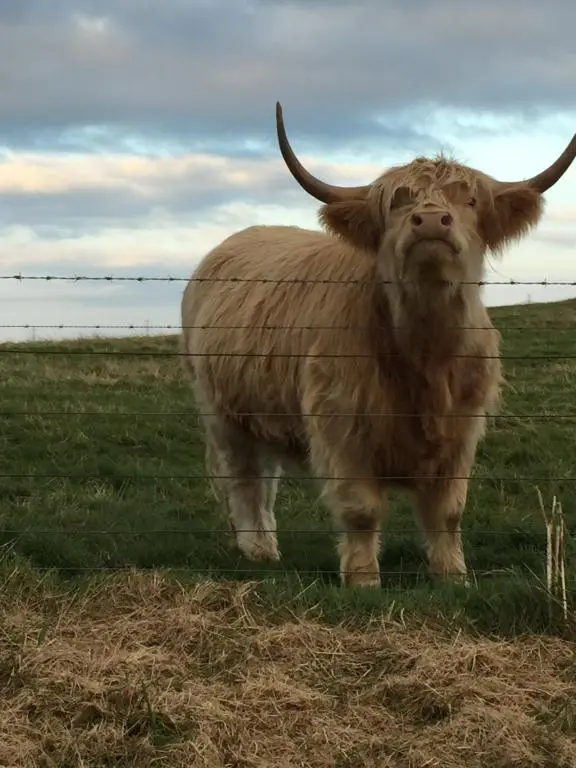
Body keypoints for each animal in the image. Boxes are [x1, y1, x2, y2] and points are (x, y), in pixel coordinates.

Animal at [181, 102, 575, 588]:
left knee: (264, 478)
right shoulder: (341, 426)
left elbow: (448, 512)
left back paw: (268, 547)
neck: (425, 354)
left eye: (469, 201)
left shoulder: (461, 432)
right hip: (221, 413)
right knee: (243, 478)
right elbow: (361, 510)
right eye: (398, 202)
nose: (430, 221)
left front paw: (453, 577)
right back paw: (254, 549)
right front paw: (364, 581)